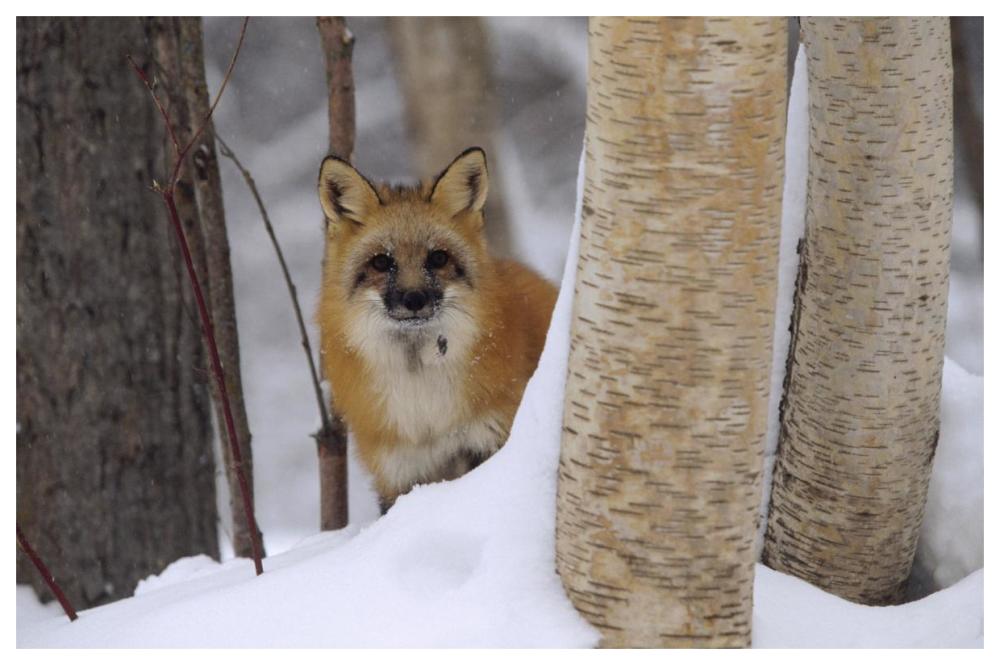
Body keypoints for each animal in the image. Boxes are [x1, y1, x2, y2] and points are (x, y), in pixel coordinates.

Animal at [316, 148, 558, 513]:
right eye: (381, 262)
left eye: (438, 258)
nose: (414, 299)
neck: (426, 412)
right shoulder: (399, 473)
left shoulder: (489, 439)